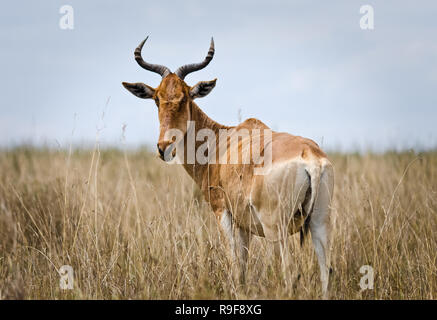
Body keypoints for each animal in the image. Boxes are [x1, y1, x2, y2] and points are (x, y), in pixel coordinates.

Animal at [122, 37, 334, 298]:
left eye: (185, 97)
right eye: (157, 98)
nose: (164, 148)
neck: (221, 141)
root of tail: (309, 156)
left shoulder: (223, 213)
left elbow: (235, 266)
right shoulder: (244, 224)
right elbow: (242, 266)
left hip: (276, 228)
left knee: (289, 273)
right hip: (320, 221)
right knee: (326, 272)